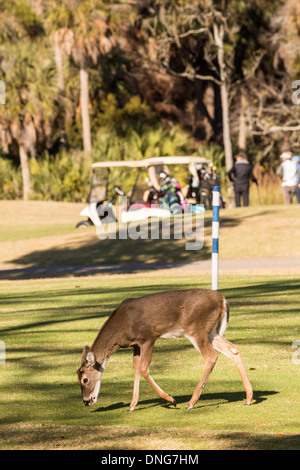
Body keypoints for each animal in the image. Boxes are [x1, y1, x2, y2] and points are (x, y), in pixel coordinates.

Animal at [76, 288, 252, 410]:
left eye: (85, 379)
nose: (85, 401)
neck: (121, 328)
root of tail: (223, 300)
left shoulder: (148, 337)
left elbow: (144, 369)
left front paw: (171, 399)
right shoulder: (135, 345)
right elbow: (135, 369)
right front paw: (132, 405)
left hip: (196, 329)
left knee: (211, 357)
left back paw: (191, 403)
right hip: (212, 332)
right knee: (233, 349)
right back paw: (249, 398)